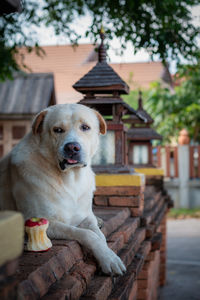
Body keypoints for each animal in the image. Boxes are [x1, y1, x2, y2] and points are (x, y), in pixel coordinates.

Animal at [0, 104, 125, 276]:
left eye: (85, 127)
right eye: (58, 130)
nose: (72, 147)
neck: (71, 179)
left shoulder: (86, 217)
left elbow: (100, 236)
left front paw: (108, 255)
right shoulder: (45, 222)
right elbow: (87, 234)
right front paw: (108, 259)